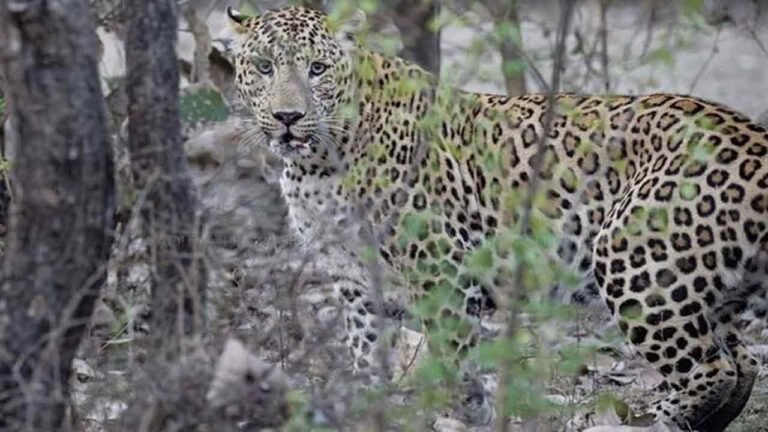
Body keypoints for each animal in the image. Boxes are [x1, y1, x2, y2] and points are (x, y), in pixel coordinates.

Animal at [226, 5, 768, 431]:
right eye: (263, 66)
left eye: (317, 68)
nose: (289, 117)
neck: (316, 165)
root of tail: (753, 139)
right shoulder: (354, 281)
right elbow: (366, 355)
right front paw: (371, 407)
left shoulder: (439, 268)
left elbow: (455, 360)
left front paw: (468, 415)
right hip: (709, 286)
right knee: (741, 361)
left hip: (633, 259)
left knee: (712, 369)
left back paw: (666, 420)